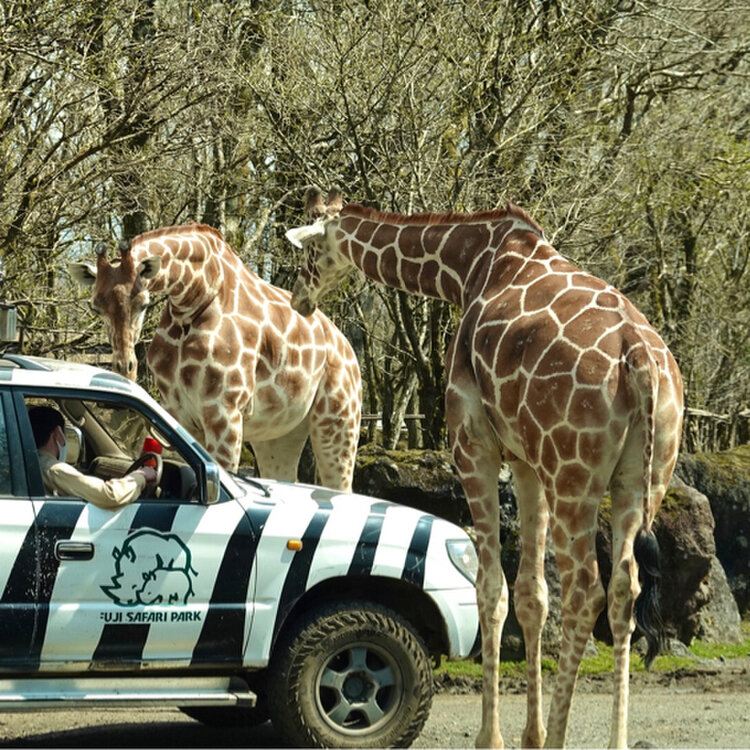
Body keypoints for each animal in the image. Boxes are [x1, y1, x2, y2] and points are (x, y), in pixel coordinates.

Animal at [70, 223, 362, 494]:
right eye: (96, 307)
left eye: (143, 303)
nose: (125, 367)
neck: (193, 300)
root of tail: (348, 349)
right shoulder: (180, 413)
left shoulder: (225, 411)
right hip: (281, 434)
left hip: (338, 422)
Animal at [288, 189, 688, 750]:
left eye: (308, 250)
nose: (299, 297)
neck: (465, 266)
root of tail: (642, 363)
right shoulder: (524, 460)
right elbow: (532, 596)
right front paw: (530, 734)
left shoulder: (473, 442)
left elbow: (490, 589)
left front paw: (493, 737)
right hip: (642, 479)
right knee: (622, 589)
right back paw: (615, 739)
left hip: (574, 476)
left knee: (585, 589)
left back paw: (563, 737)